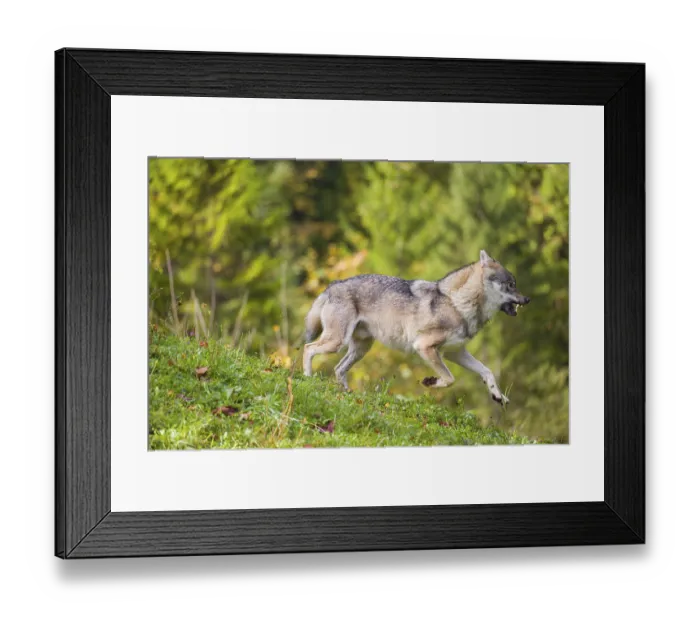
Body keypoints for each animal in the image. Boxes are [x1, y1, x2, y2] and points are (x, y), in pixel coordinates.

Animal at [303, 250, 530, 404]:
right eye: (511, 285)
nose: (528, 299)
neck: (456, 303)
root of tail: (332, 285)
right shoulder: (425, 347)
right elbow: (450, 378)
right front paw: (430, 382)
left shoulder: (455, 353)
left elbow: (487, 371)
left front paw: (498, 396)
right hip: (337, 342)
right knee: (308, 349)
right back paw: (307, 378)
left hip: (359, 349)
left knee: (338, 369)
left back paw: (346, 393)